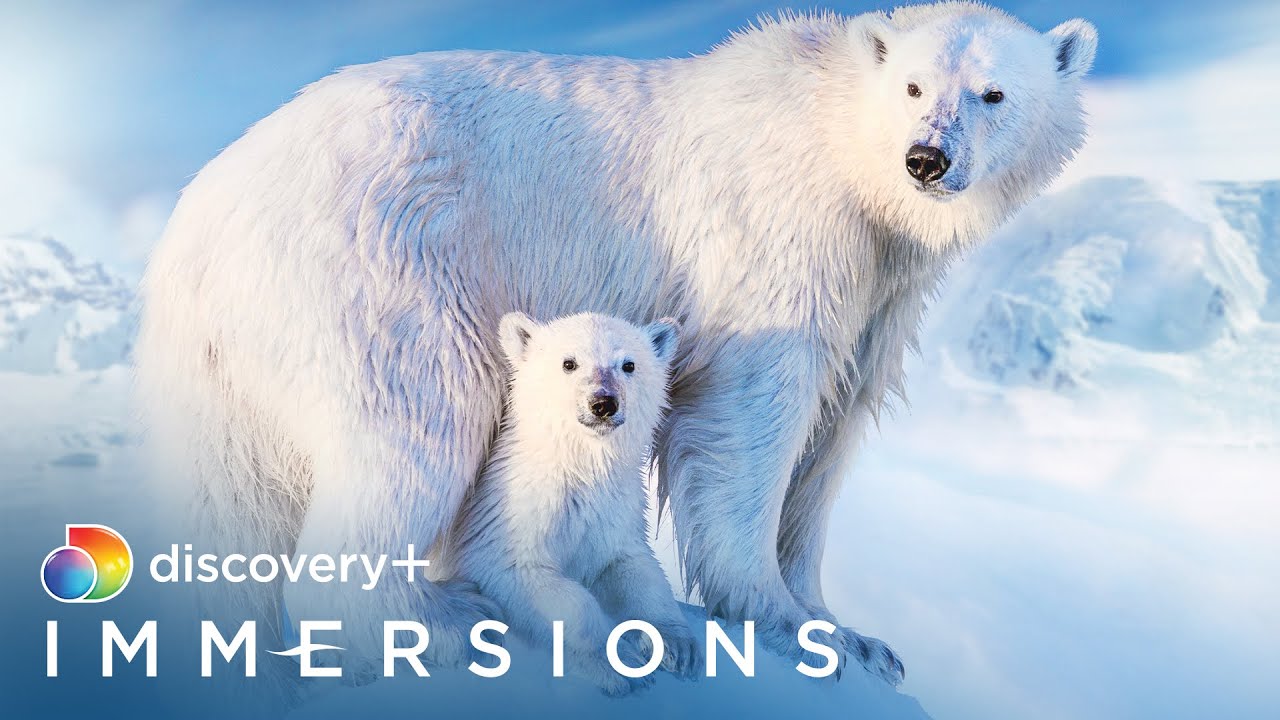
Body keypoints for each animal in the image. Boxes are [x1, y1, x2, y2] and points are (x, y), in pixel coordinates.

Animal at [438, 311, 698, 695]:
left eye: (629, 364)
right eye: (569, 363)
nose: (603, 403)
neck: (580, 467)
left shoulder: (615, 511)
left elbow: (633, 567)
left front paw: (679, 646)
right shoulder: (509, 517)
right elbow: (539, 581)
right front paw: (620, 665)